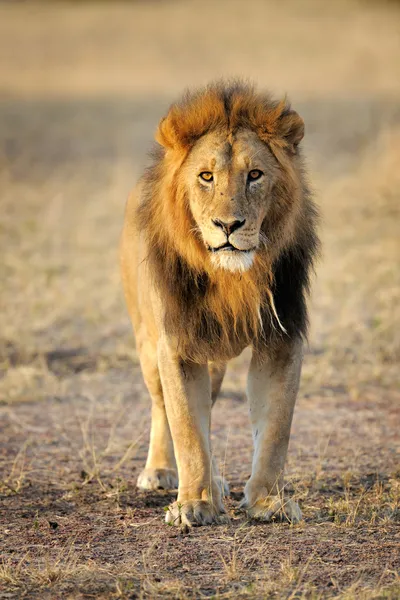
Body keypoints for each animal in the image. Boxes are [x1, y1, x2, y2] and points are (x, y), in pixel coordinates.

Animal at [119, 81, 318, 528]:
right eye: (206, 177)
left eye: (255, 175)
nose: (228, 226)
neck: (233, 279)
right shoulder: (176, 343)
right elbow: (188, 430)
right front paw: (194, 504)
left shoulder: (281, 338)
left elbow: (275, 428)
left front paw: (268, 501)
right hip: (147, 343)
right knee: (162, 407)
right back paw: (163, 471)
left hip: (213, 362)